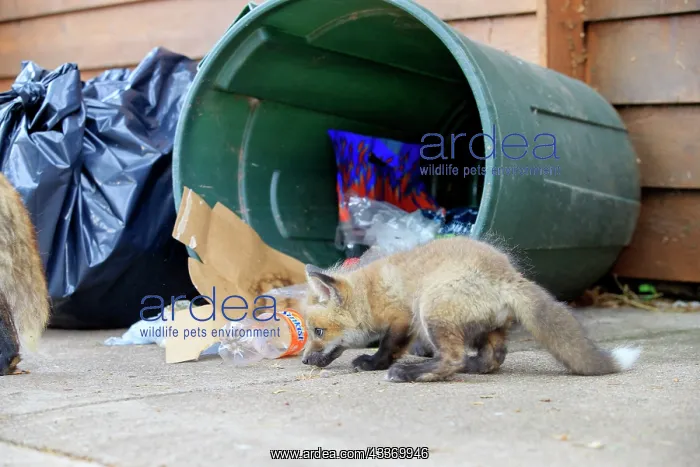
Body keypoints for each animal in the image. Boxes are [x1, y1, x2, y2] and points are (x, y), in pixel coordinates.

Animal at [300, 235, 641, 382]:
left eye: (318, 331)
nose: (303, 361)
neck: (370, 294)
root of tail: (509, 276)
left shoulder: (402, 319)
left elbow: (387, 348)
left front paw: (373, 364)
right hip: (489, 328)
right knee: (493, 358)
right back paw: (473, 366)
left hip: (431, 308)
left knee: (453, 359)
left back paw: (412, 373)